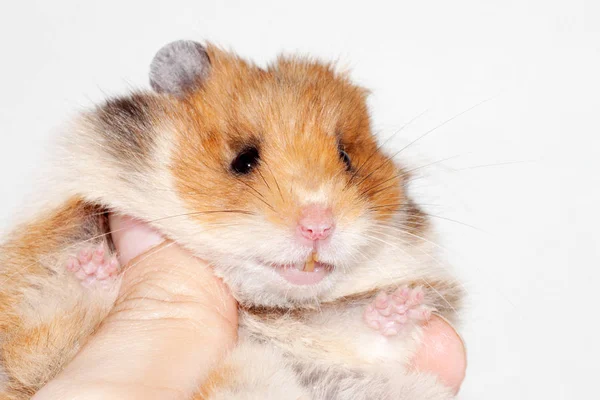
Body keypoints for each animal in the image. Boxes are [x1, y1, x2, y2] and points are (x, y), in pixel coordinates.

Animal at [0, 41, 464, 400]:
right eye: (243, 160)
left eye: (347, 158)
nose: (318, 227)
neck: (258, 304)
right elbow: (59, 315)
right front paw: (94, 265)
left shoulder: (339, 343)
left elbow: (371, 335)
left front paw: (401, 303)